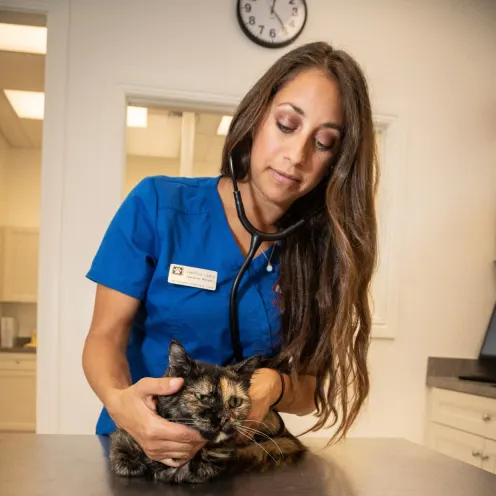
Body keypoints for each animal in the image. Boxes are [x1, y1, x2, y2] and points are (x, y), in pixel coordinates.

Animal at [109, 340, 306, 482]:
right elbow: (121, 456)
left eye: (235, 402)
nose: (225, 418)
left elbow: (194, 470)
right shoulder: (125, 433)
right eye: (203, 397)